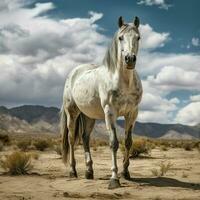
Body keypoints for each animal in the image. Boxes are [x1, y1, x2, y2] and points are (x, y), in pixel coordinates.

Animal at [60, 16, 143, 189]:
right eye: (120, 37)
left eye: (138, 37)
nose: (129, 59)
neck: (124, 81)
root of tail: (74, 72)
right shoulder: (110, 112)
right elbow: (113, 143)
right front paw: (114, 178)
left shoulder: (132, 113)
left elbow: (128, 142)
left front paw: (126, 173)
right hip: (72, 113)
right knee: (71, 139)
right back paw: (72, 171)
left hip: (89, 116)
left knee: (85, 138)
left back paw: (89, 171)